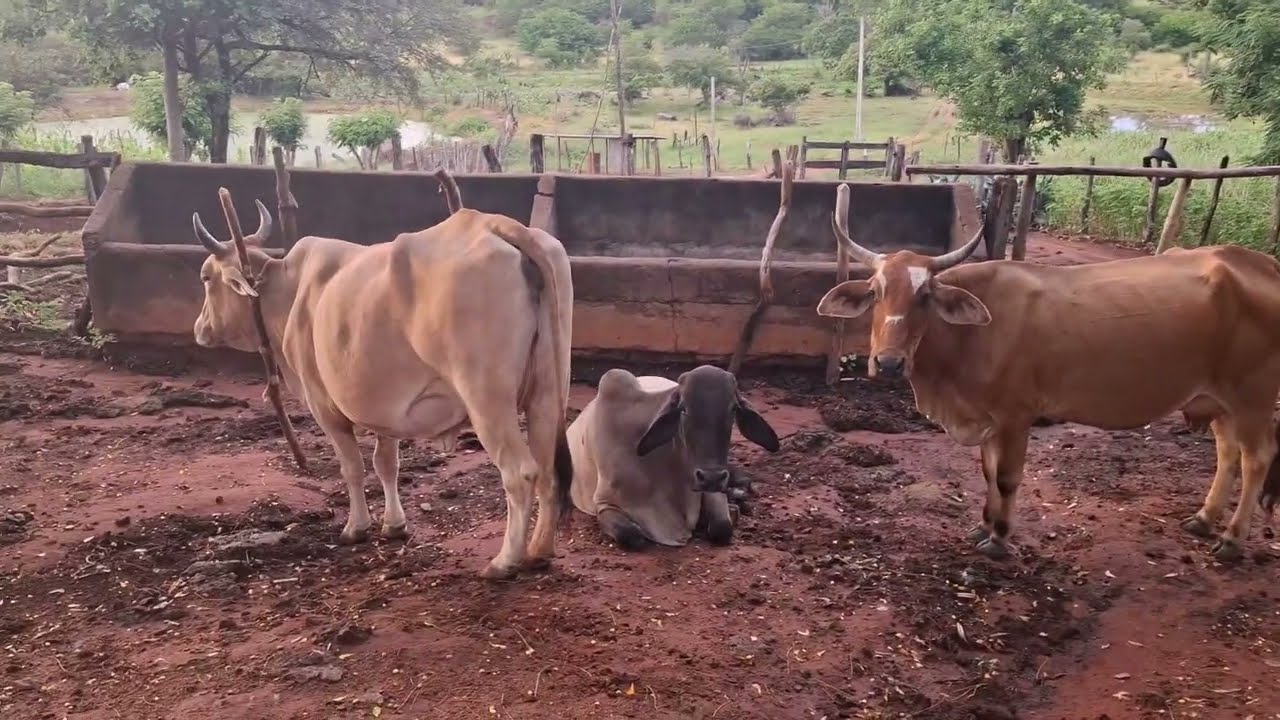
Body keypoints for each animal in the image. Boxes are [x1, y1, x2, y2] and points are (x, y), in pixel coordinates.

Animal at [191, 191, 574, 580]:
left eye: (205, 277)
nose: (200, 329)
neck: (289, 292)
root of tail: (492, 223)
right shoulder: (385, 410)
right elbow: (386, 463)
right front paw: (394, 524)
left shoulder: (325, 407)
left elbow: (353, 467)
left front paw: (356, 528)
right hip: (548, 390)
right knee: (548, 471)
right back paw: (539, 551)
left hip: (487, 399)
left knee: (520, 473)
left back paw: (505, 561)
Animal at [567, 365, 780, 549]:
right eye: (683, 408)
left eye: (733, 409)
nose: (711, 477)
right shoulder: (604, 504)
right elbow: (632, 536)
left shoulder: (711, 487)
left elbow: (722, 528)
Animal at [815, 182, 1280, 562]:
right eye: (875, 291)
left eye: (925, 294)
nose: (889, 362)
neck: (971, 336)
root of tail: (1257, 262)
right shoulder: (988, 418)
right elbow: (987, 473)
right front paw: (983, 526)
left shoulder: (1015, 416)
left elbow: (1006, 478)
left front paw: (1000, 539)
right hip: (1219, 399)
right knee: (1227, 454)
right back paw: (1204, 519)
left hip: (1253, 397)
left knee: (1256, 459)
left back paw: (1233, 540)